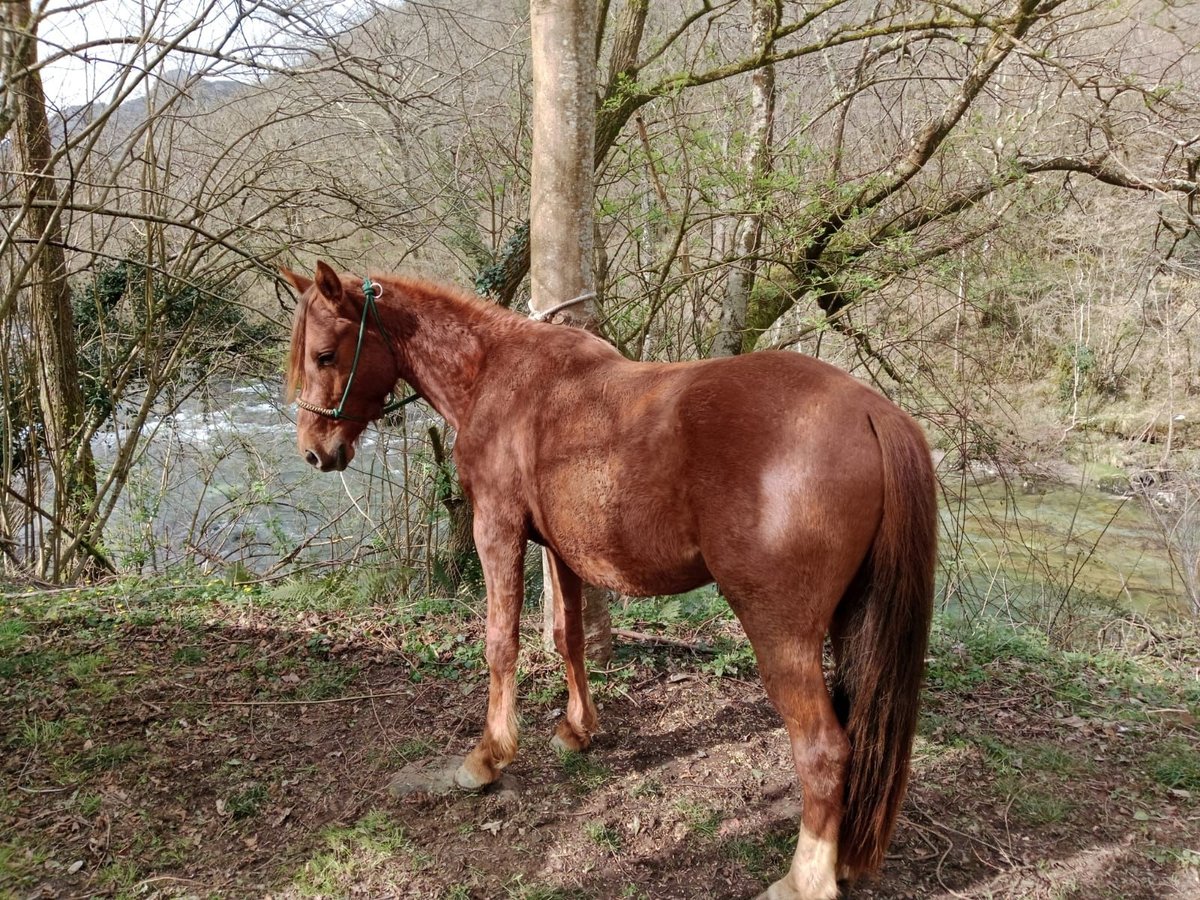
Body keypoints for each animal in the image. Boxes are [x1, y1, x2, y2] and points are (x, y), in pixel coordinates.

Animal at [283, 262, 936, 900]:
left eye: (324, 354)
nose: (313, 452)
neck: (497, 374)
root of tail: (871, 411)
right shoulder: (560, 552)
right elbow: (568, 638)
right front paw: (577, 730)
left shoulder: (496, 530)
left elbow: (501, 645)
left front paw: (488, 757)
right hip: (850, 622)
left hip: (781, 633)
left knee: (824, 749)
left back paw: (805, 879)